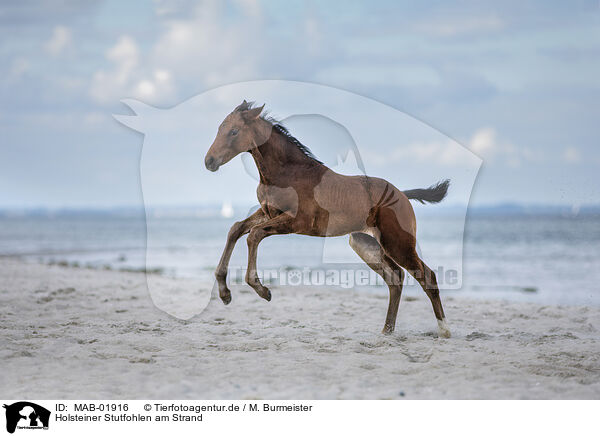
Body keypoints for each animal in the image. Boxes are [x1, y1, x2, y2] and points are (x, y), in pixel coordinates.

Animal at [205, 101, 450, 338]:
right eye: (219, 129)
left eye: (234, 131)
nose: (209, 161)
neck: (287, 172)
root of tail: (403, 195)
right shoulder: (268, 213)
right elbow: (236, 229)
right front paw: (225, 293)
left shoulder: (297, 221)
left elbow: (253, 235)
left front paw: (262, 290)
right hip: (366, 245)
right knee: (395, 278)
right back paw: (387, 331)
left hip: (398, 244)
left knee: (427, 276)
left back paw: (444, 330)